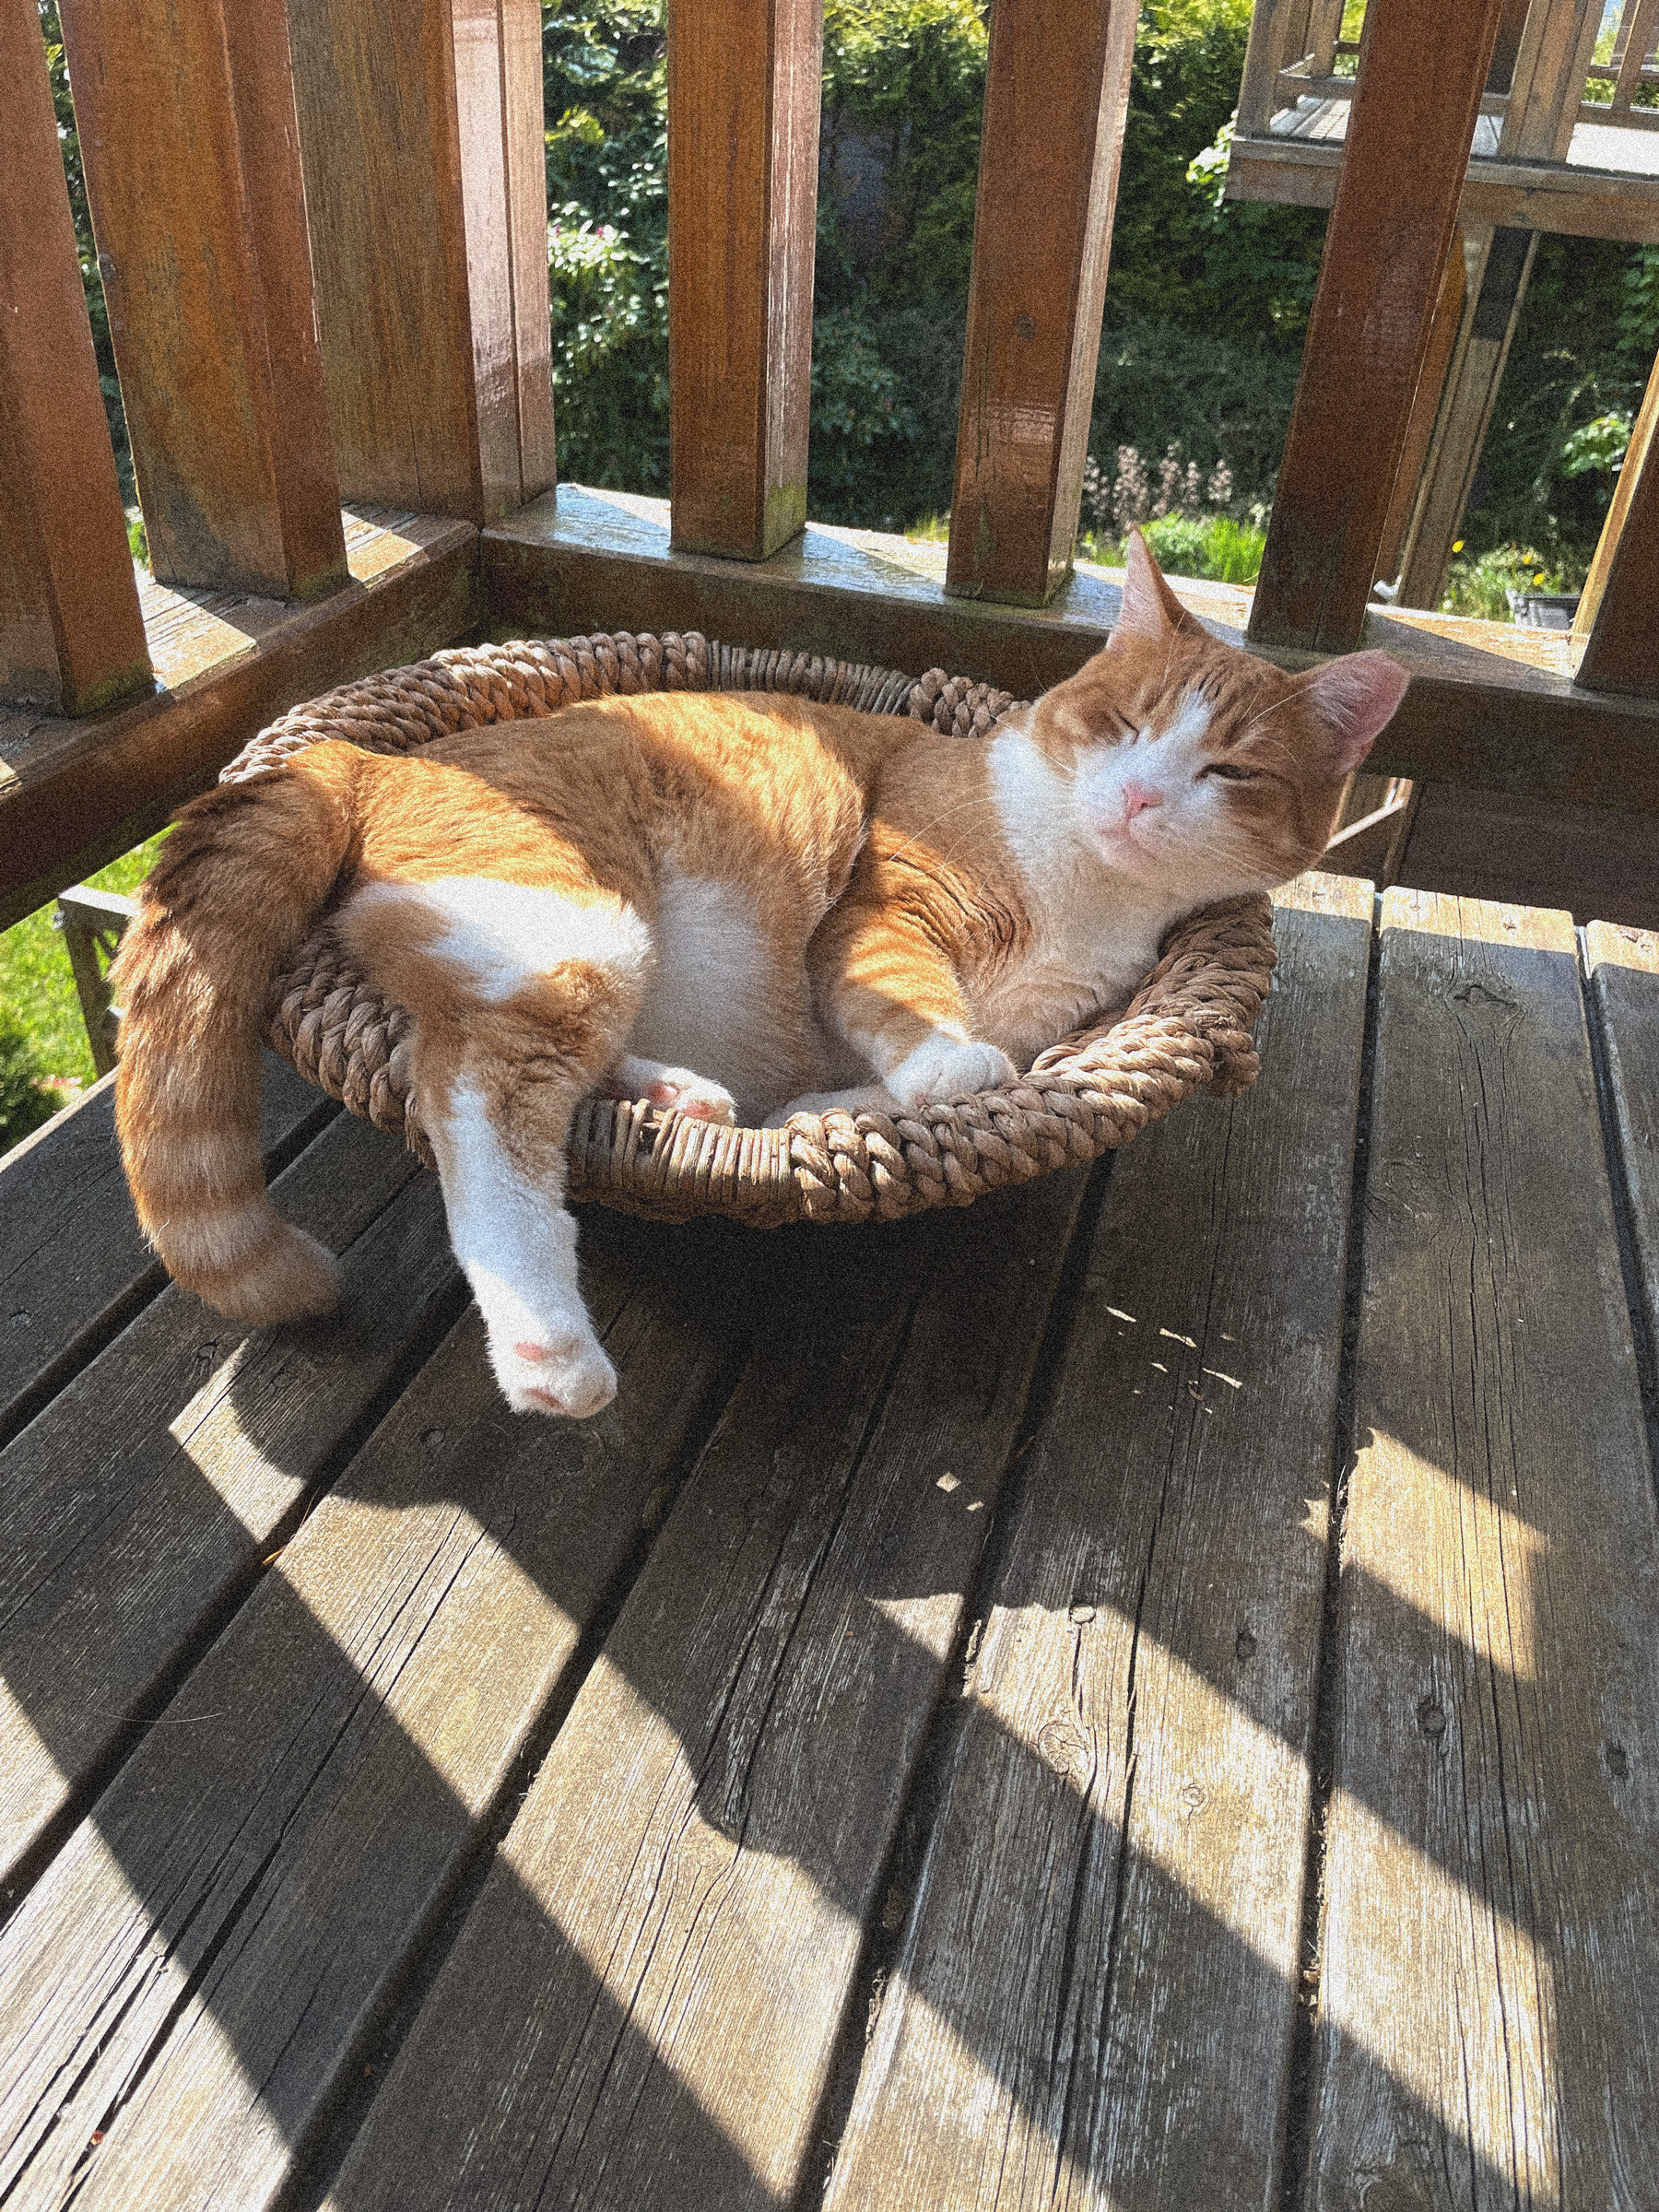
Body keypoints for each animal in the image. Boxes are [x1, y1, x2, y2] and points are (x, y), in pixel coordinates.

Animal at [113, 535, 1406, 1416]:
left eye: (1231, 771)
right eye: (1126, 724)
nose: (1138, 799)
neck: (1083, 889)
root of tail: (365, 760)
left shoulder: (1054, 1021)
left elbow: (935, 1075)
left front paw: (828, 1111)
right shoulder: (888, 910)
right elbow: (913, 1011)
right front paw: (939, 1067)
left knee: (485, 1053)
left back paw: (679, 1097)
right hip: (583, 930)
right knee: (474, 1098)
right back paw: (549, 1346)